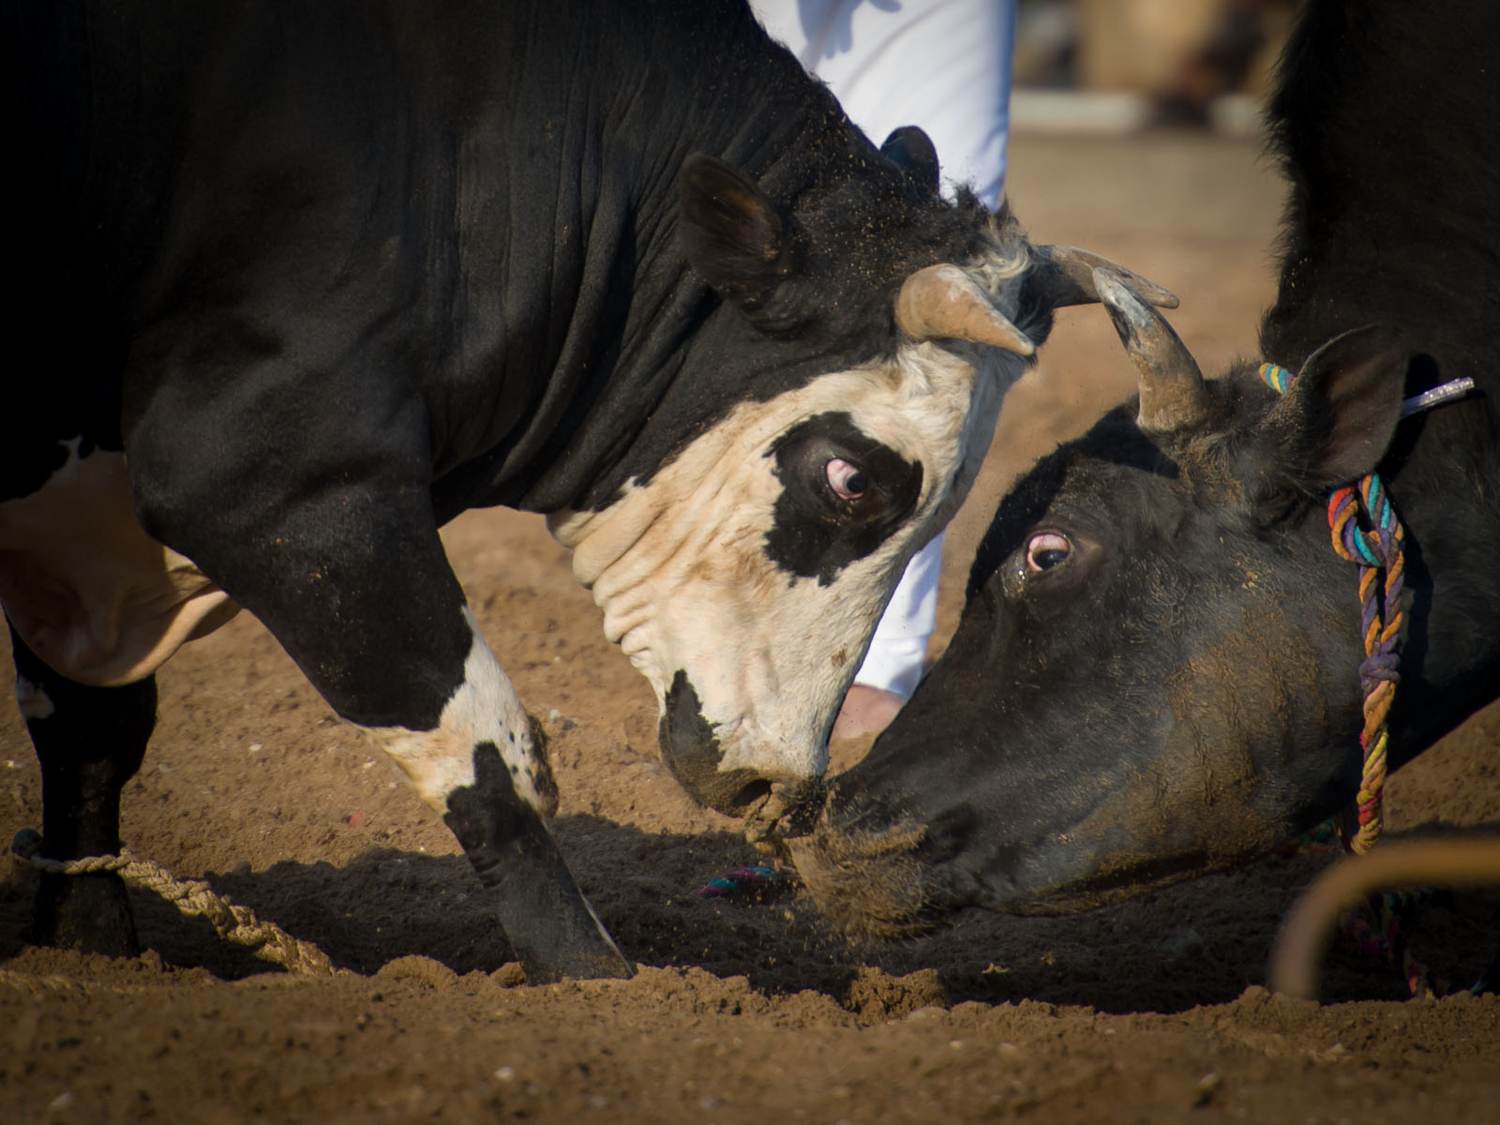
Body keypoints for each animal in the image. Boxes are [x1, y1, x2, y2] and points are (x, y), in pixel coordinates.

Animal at [2, 0, 1170, 984]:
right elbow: (489, 753)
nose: (778, 780)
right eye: (850, 478)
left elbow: (93, 734)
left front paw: (91, 952)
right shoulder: (277, 480)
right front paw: (599, 985)